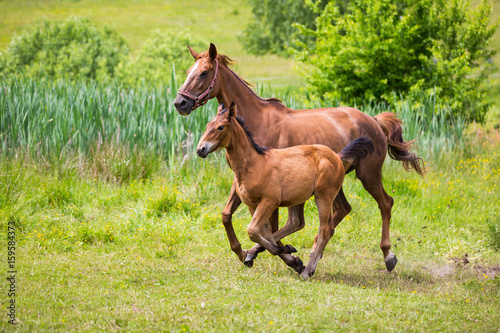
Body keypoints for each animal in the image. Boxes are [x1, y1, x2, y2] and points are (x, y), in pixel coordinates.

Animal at [196, 102, 376, 278]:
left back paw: (308, 270)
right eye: (208, 124)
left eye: (220, 127)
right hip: (298, 198)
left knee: (326, 229)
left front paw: (287, 254)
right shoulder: (252, 205)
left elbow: (253, 230)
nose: (200, 149)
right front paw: (291, 258)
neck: (253, 164)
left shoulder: (269, 201)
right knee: (296, 223)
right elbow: (264, 232)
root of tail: (337, 157)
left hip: (323, 196)